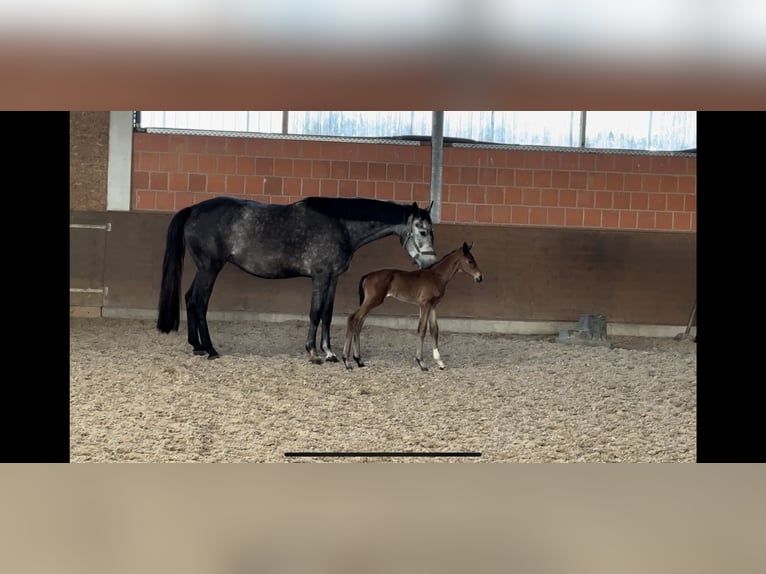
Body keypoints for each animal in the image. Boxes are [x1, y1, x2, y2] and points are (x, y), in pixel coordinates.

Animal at [156, 196, 437, 362]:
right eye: (422, 231)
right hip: (210, 269)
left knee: (190, 298)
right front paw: (312, 351)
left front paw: (329, 351)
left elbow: (327, 314)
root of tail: (193, 210)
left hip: (205, 269)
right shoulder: (321, 277)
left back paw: (197, 345)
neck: (341, 225)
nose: (430, 262)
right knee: (199, 302)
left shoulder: (333, 278)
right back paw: (210, 349)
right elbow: (315, 312)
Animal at [342, 241, 483, 371]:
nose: (480, 277)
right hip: (372, 301)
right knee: (352, 318)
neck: (436, 277)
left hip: (371, 303)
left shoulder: (432, 306)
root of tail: (368, 275)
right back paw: (347, 361)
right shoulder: (425, 304)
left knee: (359, 323)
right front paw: (421, 362)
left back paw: (358, 360)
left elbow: (434, 330)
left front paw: (440, 362)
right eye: (470, 261)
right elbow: (422, 329)